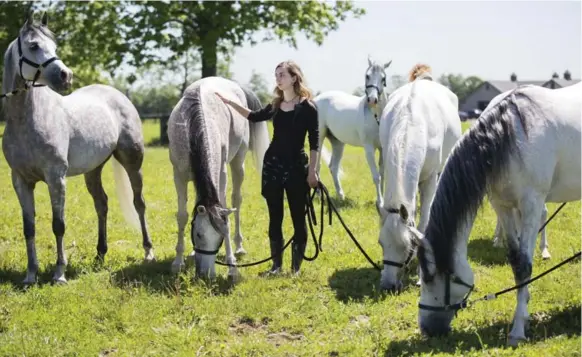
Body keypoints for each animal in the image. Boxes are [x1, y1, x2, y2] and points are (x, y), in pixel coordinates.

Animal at [1, 15, 155, 286]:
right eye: (33, 46)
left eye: (54, 45)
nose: (66, 76)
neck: (27, 120)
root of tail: (118, 96)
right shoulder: (20, 180)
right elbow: (29, 227)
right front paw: (30, 275)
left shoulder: (56, 178)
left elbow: (58, 224)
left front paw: (59, 274)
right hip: (93, 170)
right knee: (101, 204)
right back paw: (100, 254)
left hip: (132, 163)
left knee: (139, 203)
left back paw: (148, 252)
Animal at [168, 76, 270, 278]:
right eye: (198, 234)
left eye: (221, 238)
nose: (206, 274)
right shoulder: (179, 176)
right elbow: (183, 216)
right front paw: (178, 262)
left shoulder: (221, 175)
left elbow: (226, 213)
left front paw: (232, 268)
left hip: (238, 163)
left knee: (236, 200)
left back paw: (239, 247)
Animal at [314, 55, 392, 206]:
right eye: (367, 76)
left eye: (383, 78)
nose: (372, 99)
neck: (376, 116)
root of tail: (316, 99)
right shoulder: (369, 148)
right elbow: (376, 176)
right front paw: (379, 202)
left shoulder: (383, 148)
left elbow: (383, 173)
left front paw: (383, 201)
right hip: (319, 139)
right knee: (317, 166)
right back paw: (320, 196)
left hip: (338, 143)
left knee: (333, 167)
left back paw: (340, 195)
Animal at [376, 64, 464, 290]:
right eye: (381, 243)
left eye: (408, 246)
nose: (388, 284)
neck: (411, 122)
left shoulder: (430, 179)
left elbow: (423, 224)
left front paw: (420, 274)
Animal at [412, 82, 580, 344]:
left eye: (430, 277)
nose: (427, 329)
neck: (507, 135)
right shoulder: (503, 206)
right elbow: (514, 260)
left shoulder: (531, 204)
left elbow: (524, 265)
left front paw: (518, 329)